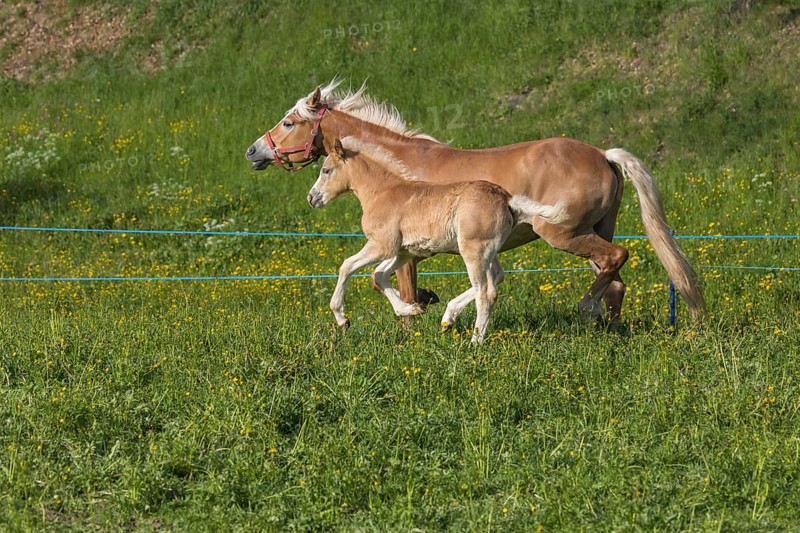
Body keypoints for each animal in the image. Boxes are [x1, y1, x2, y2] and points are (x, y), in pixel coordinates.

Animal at [309, 137, 569, 343]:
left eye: (326, 170)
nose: (312, 198)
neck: (382, 192)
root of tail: (507, 199)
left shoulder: (382, 245)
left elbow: (346, 267)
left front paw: (342, 319)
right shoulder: (404, 251)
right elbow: (379, 275)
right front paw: (411, 309)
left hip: (473, 251)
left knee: (486, 292)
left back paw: (474, 342)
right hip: (489, 252)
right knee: (495, 279)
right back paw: (448, 319)